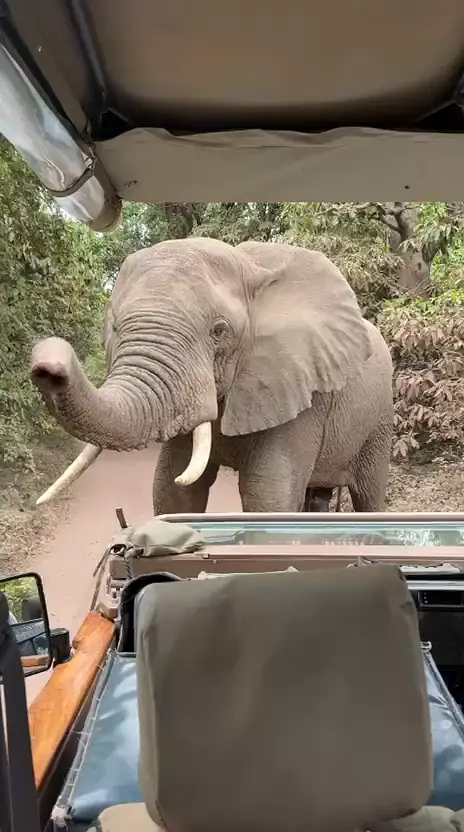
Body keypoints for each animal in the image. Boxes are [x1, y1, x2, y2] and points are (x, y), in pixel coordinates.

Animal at [30, 238, 394, 514]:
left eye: (219, 331)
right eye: (115, 327)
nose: (47, 364)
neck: (249, 265)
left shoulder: (302, 389)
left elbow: (267, 492)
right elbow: (172, 486)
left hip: (378, 423)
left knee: (368, 495)